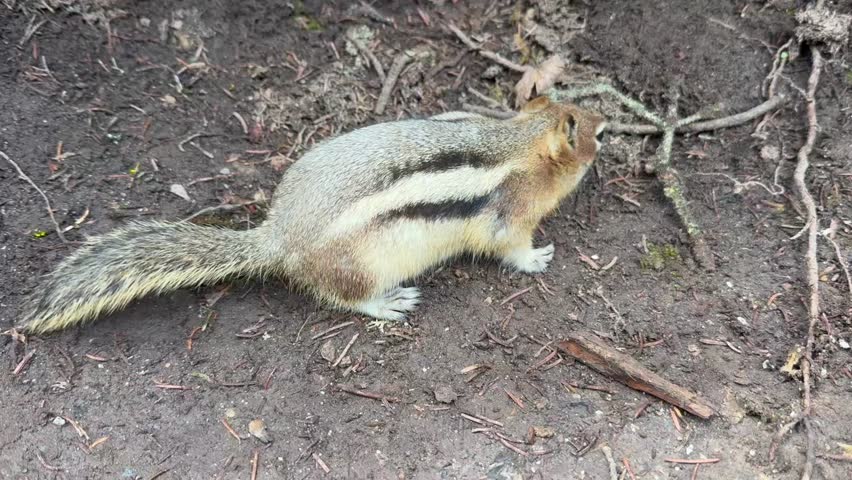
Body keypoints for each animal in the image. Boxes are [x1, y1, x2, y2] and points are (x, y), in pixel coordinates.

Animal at [20, 96, 606, 334]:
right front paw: (536, 258)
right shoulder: (510, 214)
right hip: (363, 266)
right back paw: (388, 302)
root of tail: (278, 237)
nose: (608, 125)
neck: (515, 140)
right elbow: (509, 246)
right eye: (591, 136)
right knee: (344, 296)